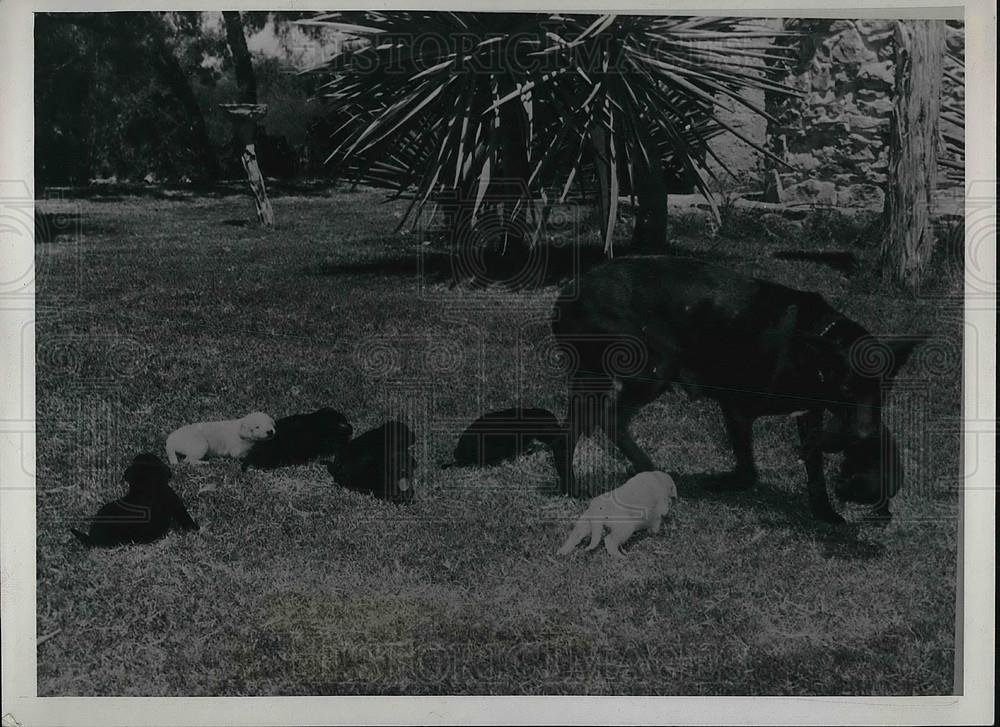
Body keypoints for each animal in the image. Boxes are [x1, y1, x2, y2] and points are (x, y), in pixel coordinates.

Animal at [552, 256, 924, 524]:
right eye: (847, 388)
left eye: (882, 392)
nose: (864, 436)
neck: (813, 344)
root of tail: (569, 293)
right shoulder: (737, 407)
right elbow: (748, 471)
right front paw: (720, 483)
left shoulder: (810, 415)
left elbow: (815, 468)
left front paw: (825, 512)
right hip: (655, 368)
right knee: (611, 420)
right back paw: (646, 467)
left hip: (594, 378)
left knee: (570, 430)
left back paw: (571, 485)